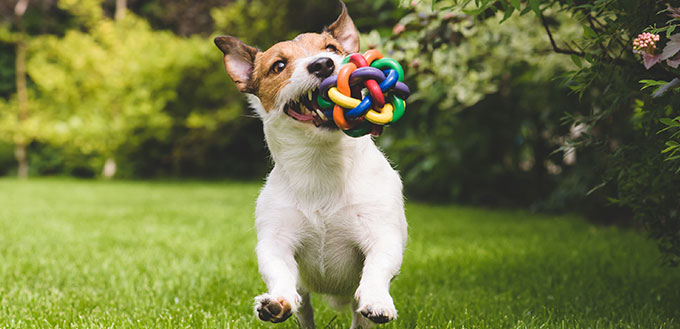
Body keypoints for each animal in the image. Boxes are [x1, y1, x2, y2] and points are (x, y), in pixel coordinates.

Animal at [215, 1, 406, 326]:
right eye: (278, 66)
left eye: (331, 48)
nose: (323, 65)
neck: (321, 163)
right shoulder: (276, 242)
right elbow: (278, 271)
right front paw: (276, 302)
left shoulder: (382, 234)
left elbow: (377, 267)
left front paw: (377, 299)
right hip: (304, 295)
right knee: (304, 308)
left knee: (359, 316)